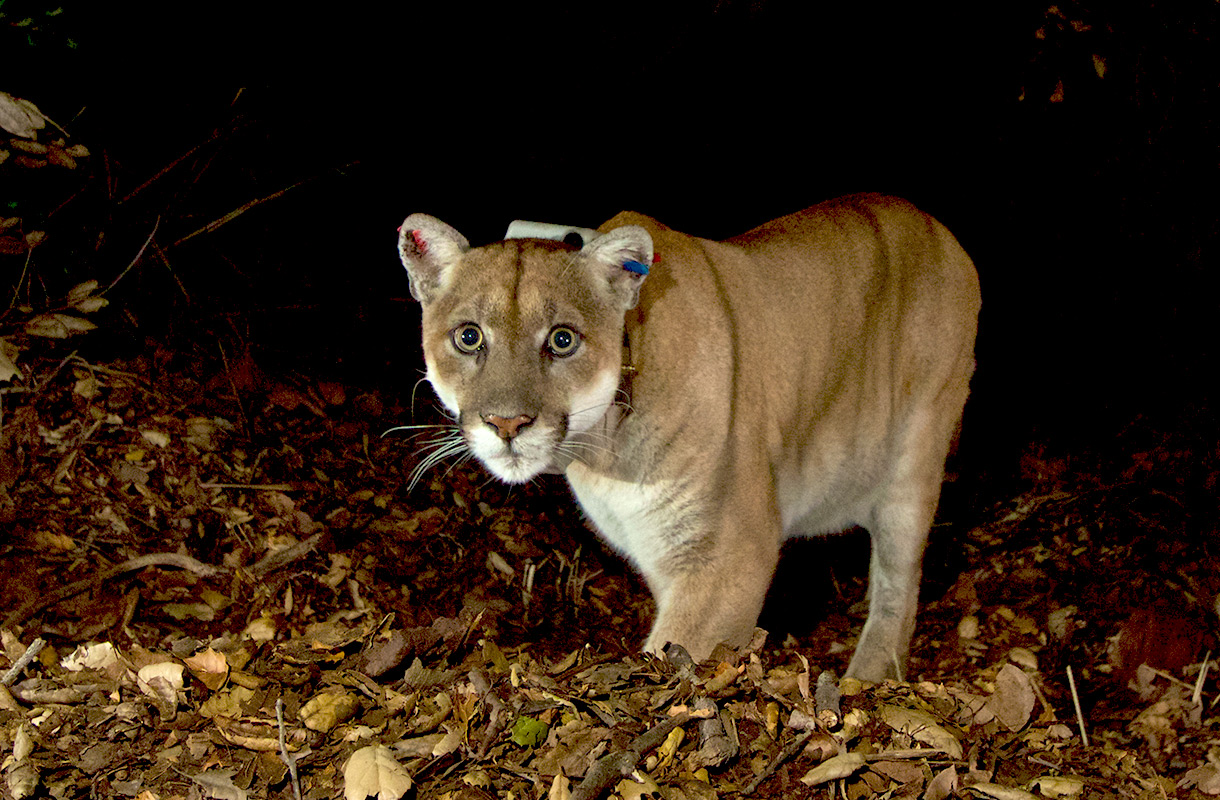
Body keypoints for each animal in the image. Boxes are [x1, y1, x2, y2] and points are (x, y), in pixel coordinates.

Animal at [400, 193, 980, 682]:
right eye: (469, 336)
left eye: (562, 340)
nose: (506, 424)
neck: (603, 451)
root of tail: (937, 227)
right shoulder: (660, 549)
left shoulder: (730, 555)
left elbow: (677, 652)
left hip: (915, 456)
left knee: (898, 585)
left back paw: (869, 678)